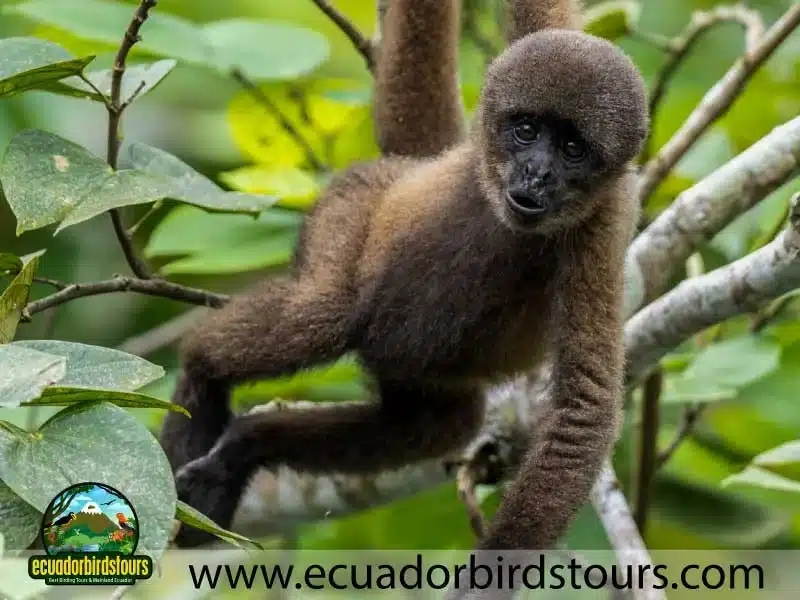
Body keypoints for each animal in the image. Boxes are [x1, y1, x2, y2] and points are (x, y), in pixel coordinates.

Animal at [159, 0, 647, 564]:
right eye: (526, 130)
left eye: (572, 148)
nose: (537, 174)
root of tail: (413, 164)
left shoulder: (601, 229)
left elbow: (583, 409)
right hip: (353, 203)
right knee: (322, 311)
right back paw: (201, 378)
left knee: (434, 424)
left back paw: (247, 445)